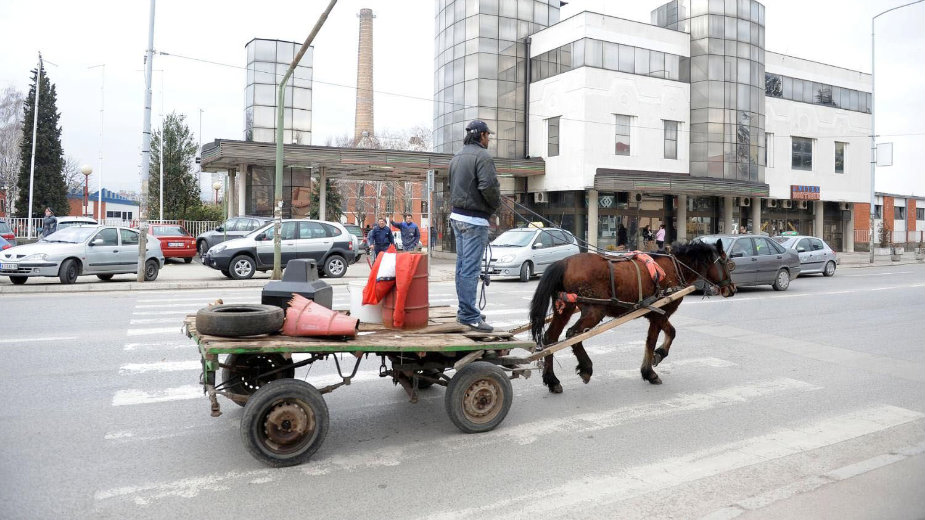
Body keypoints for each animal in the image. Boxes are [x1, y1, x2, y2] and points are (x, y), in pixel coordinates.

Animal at [528, 242, 736, 392]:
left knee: (550, 339)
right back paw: (586, 368)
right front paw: (652, 368)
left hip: (565, 308)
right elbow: (659, 338)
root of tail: (563, 263)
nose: (731, 289)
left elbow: (661, 336)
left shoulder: (654, 314)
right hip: (595, 310)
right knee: (573, 335)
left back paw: (552, 380)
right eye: (726, 262)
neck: (674, 266)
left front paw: (653, 363)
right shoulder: (660, 313)